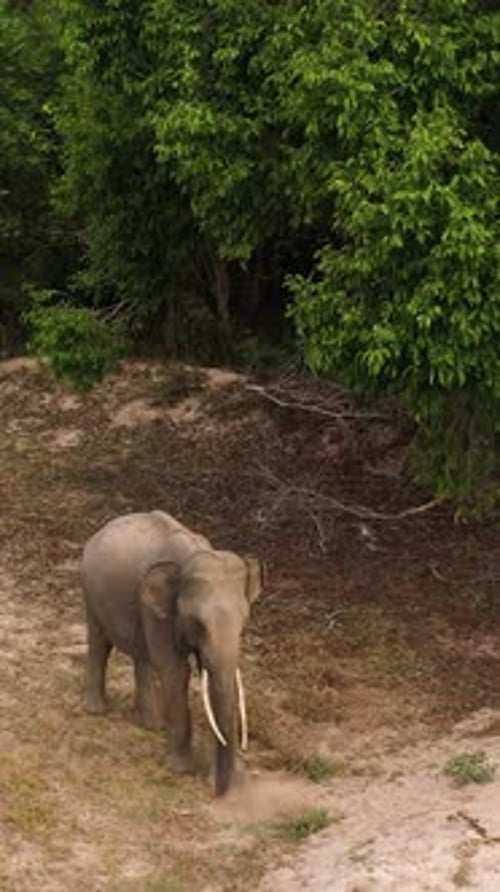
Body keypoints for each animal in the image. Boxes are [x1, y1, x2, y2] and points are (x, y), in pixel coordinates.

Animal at [81, 510, 263, 796]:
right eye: (198, 623)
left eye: (244, 622)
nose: (217, 792)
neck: (193, 553)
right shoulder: (158, 609)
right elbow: (175, 671)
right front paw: (180, 770)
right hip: (90, 588)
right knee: (100, 641)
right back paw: (96, 710)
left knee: (141, 655)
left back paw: (152, 725)